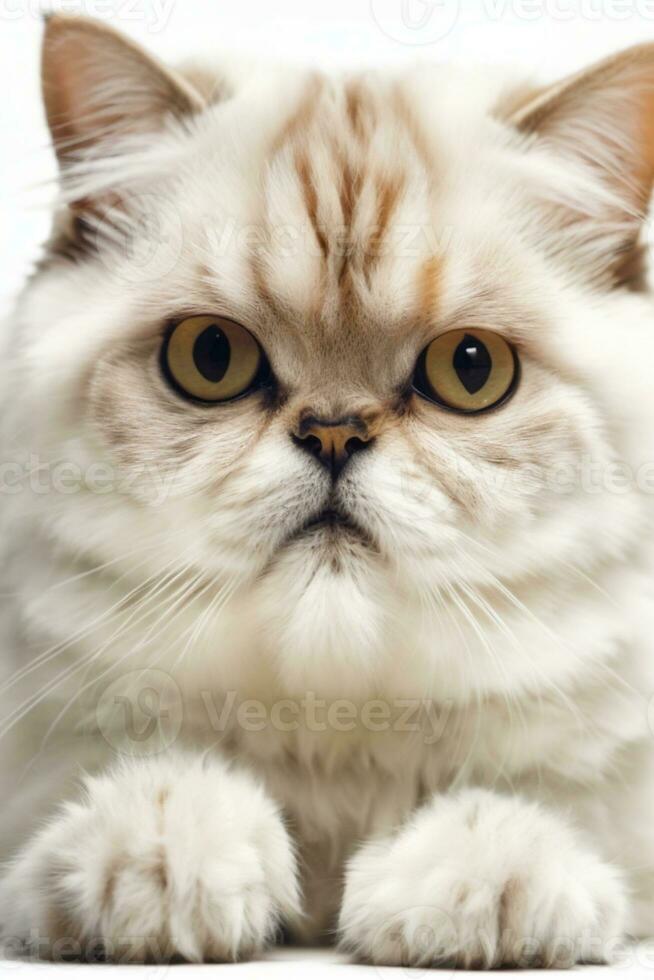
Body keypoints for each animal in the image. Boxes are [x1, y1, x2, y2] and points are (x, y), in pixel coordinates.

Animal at [1, 13, 654, 964]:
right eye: (210, 357)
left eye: (471, 369)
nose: (335, 433)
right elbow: (145, 791)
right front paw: (161, 858)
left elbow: (533, 815)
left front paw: (480, 882)